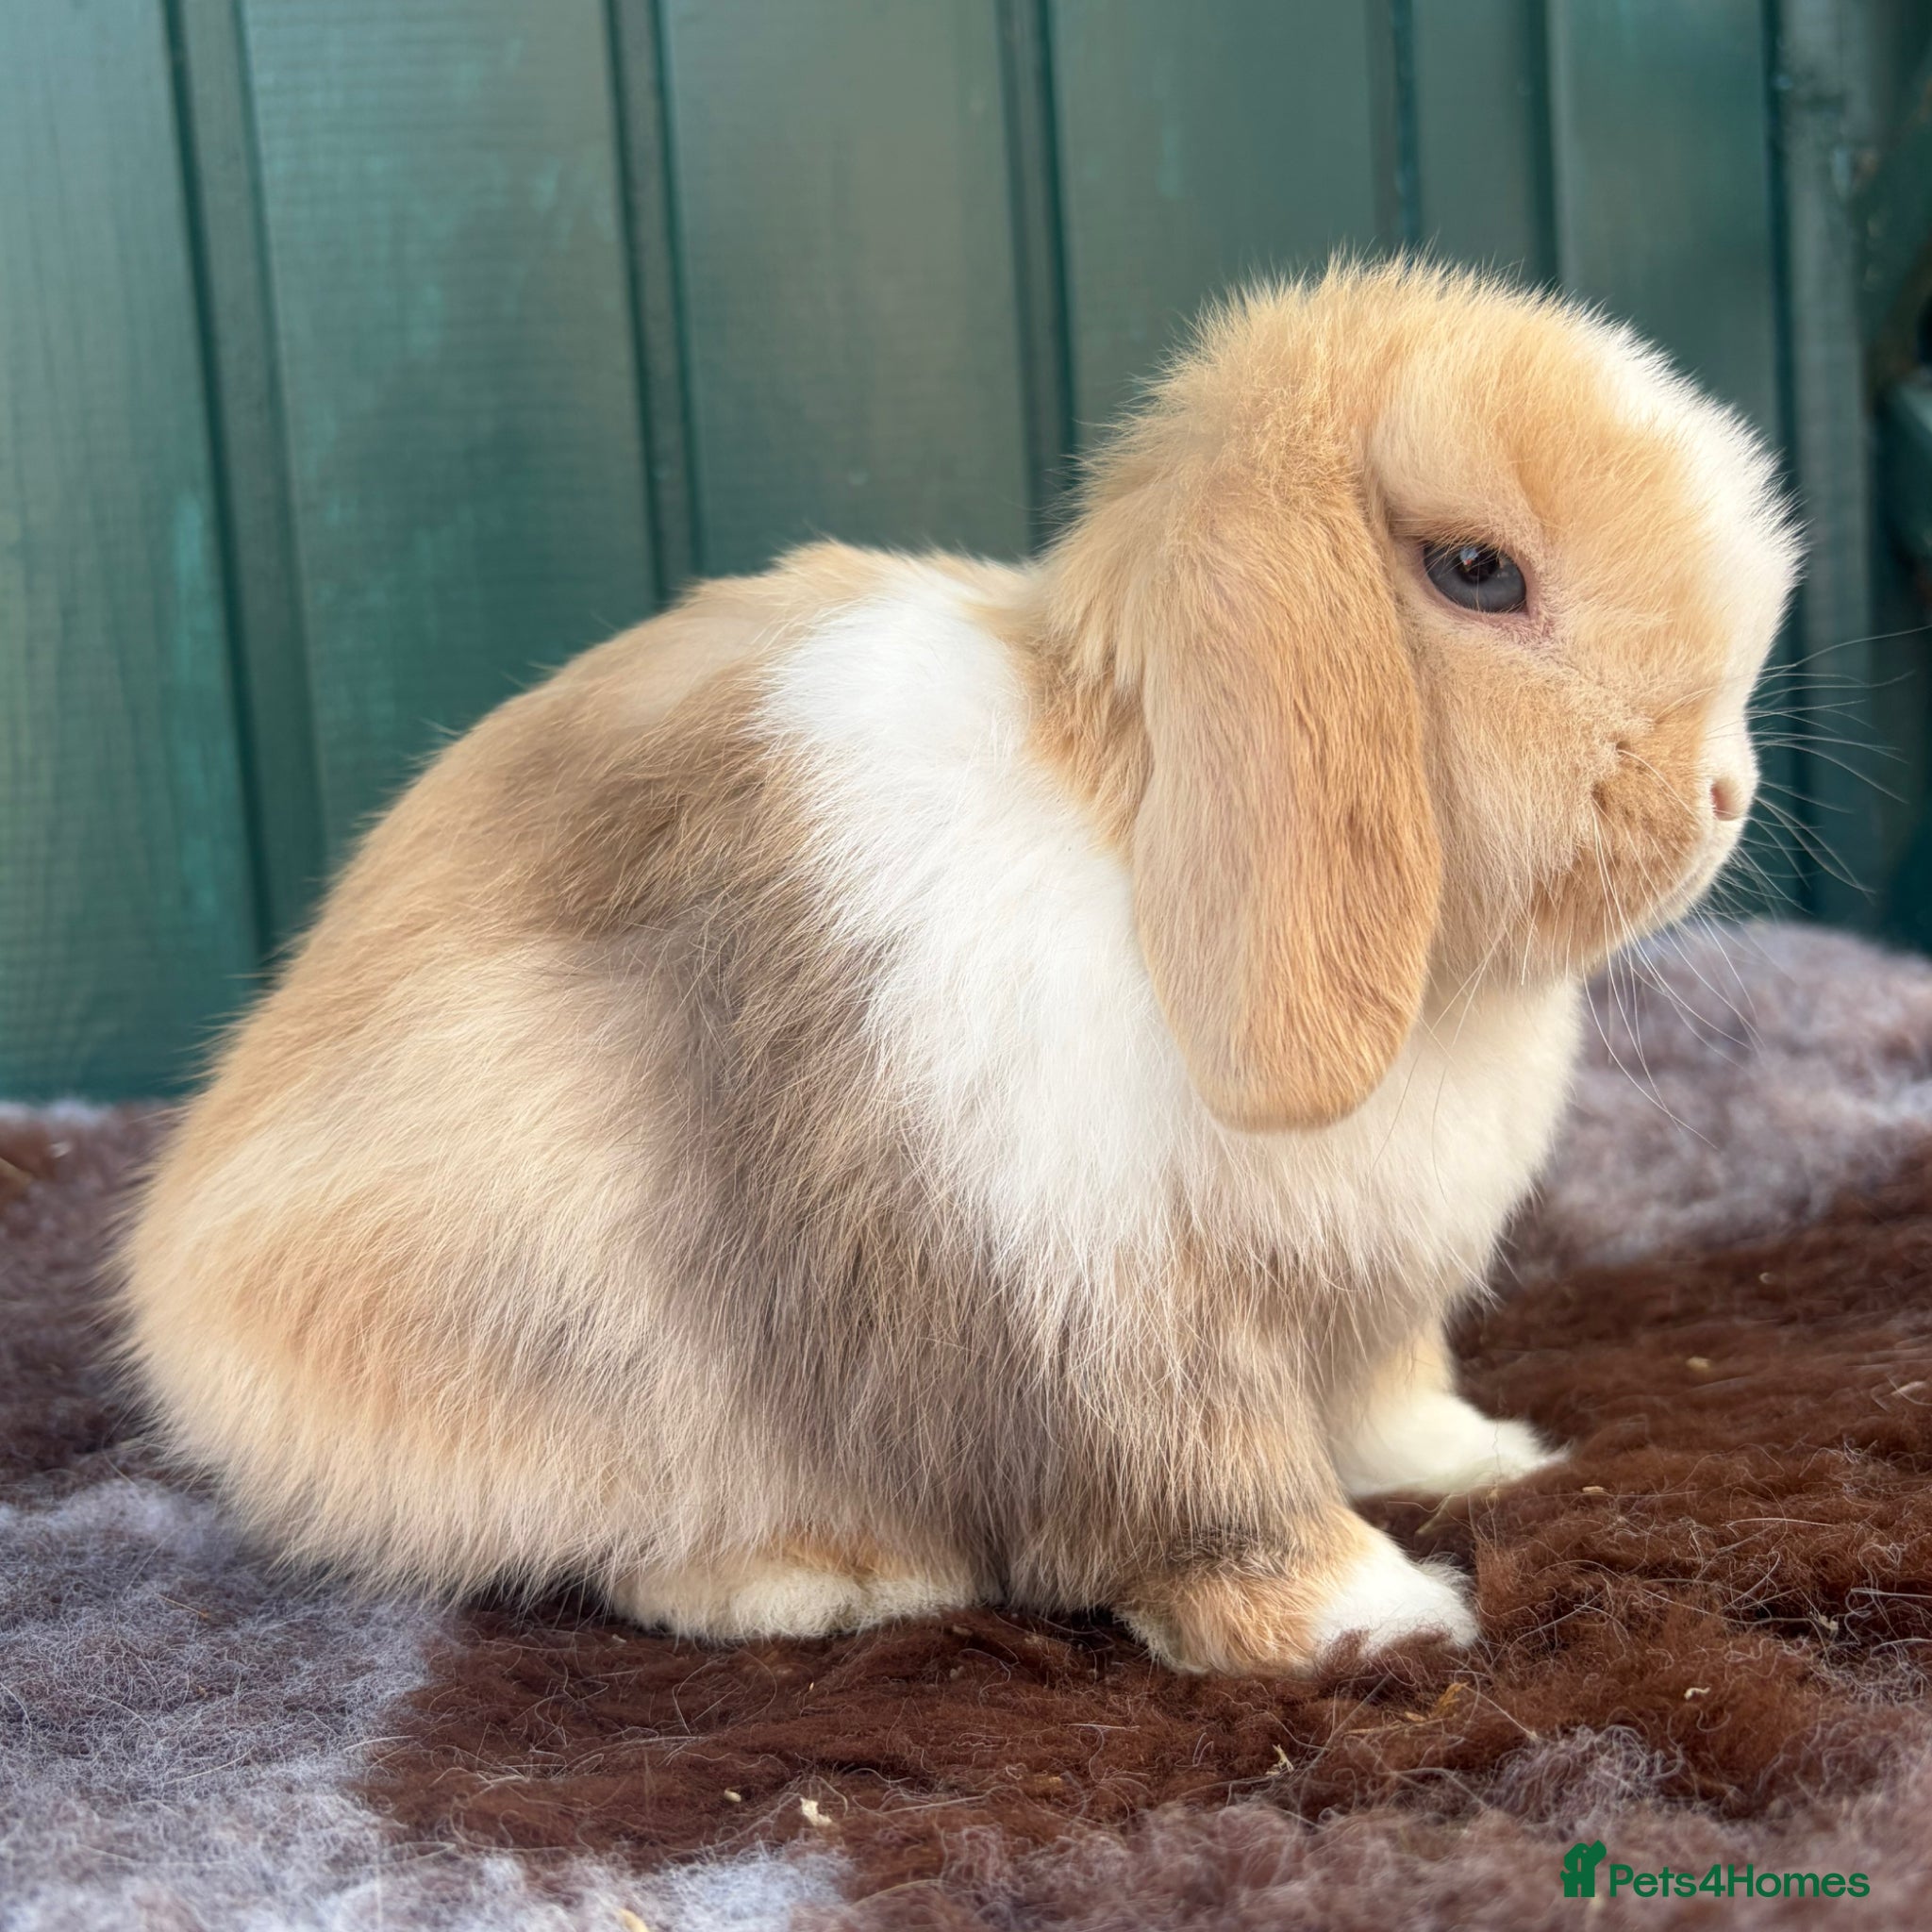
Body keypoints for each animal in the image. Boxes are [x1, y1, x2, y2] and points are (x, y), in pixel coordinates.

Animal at [121, 262, 1798, 1675]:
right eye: (1475, 572)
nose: (1727, 791)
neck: (1141, 856)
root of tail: (182, 1278)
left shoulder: (1364, 1309)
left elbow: (1389, 1398)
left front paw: (1483, 1461)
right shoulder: (1105, 1315)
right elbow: (1216, 1493)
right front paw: (1378, 1618)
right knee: (612, 1539)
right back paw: (828, 1576)